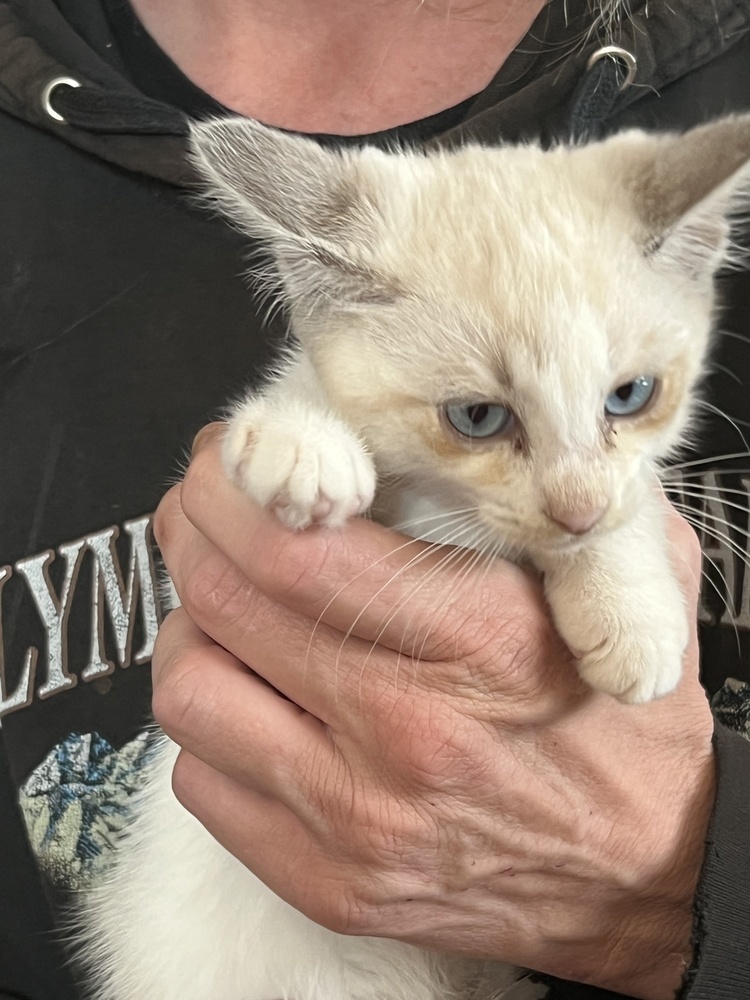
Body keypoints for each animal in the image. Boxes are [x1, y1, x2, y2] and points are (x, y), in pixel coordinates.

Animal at [76, 117, 750, 1000]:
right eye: (477, 417)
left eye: (630, 397)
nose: (575, 510)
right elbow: (295, 403)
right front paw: (304, 445)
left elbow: (630, 500)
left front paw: (628, 613)